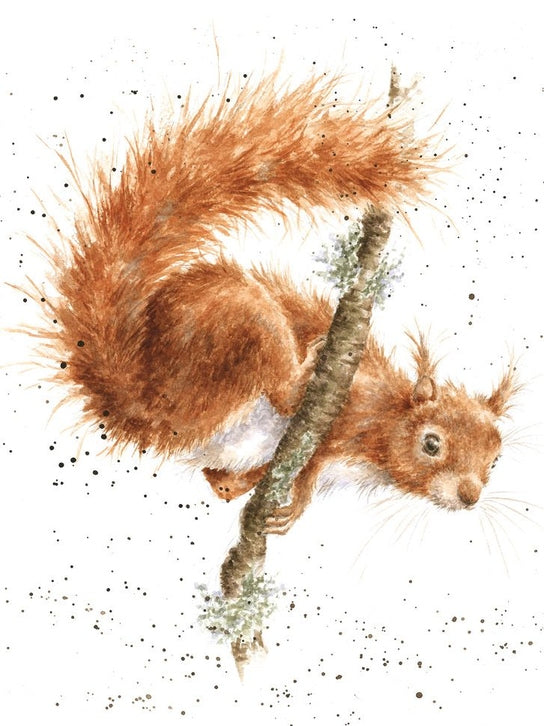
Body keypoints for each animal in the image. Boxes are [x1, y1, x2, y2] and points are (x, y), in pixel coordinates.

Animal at [41, 73, 515, 534]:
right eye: (431, 443)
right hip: (245, 327)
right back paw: (304, 370)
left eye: (496, 459)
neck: (385, 422)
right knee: (281, 393)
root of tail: (145, 398)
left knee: (219, 480)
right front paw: (298, 499)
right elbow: (311, 462)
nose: (469, 496)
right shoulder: (347, 413)